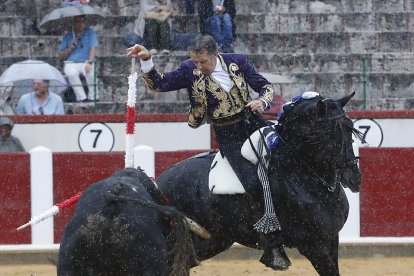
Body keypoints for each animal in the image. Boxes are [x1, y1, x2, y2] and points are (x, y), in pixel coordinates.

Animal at [157, 91, 364, 274]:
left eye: (351, 128)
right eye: (331, 132)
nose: (354, 178)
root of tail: (158, 183)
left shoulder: (331, 239)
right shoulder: (313, 245)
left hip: (212, 240)